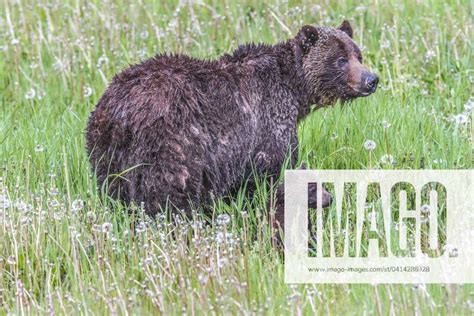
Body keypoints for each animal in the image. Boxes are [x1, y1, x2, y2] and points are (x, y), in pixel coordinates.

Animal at [85, 21, 378, 228]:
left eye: (358, 55)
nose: (371, 79)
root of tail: (119, 111)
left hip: (107, 152)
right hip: (169, 145)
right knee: (170, 196)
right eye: (340, 59)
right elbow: (273, 175)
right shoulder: (268, 124)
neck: (295, 91)